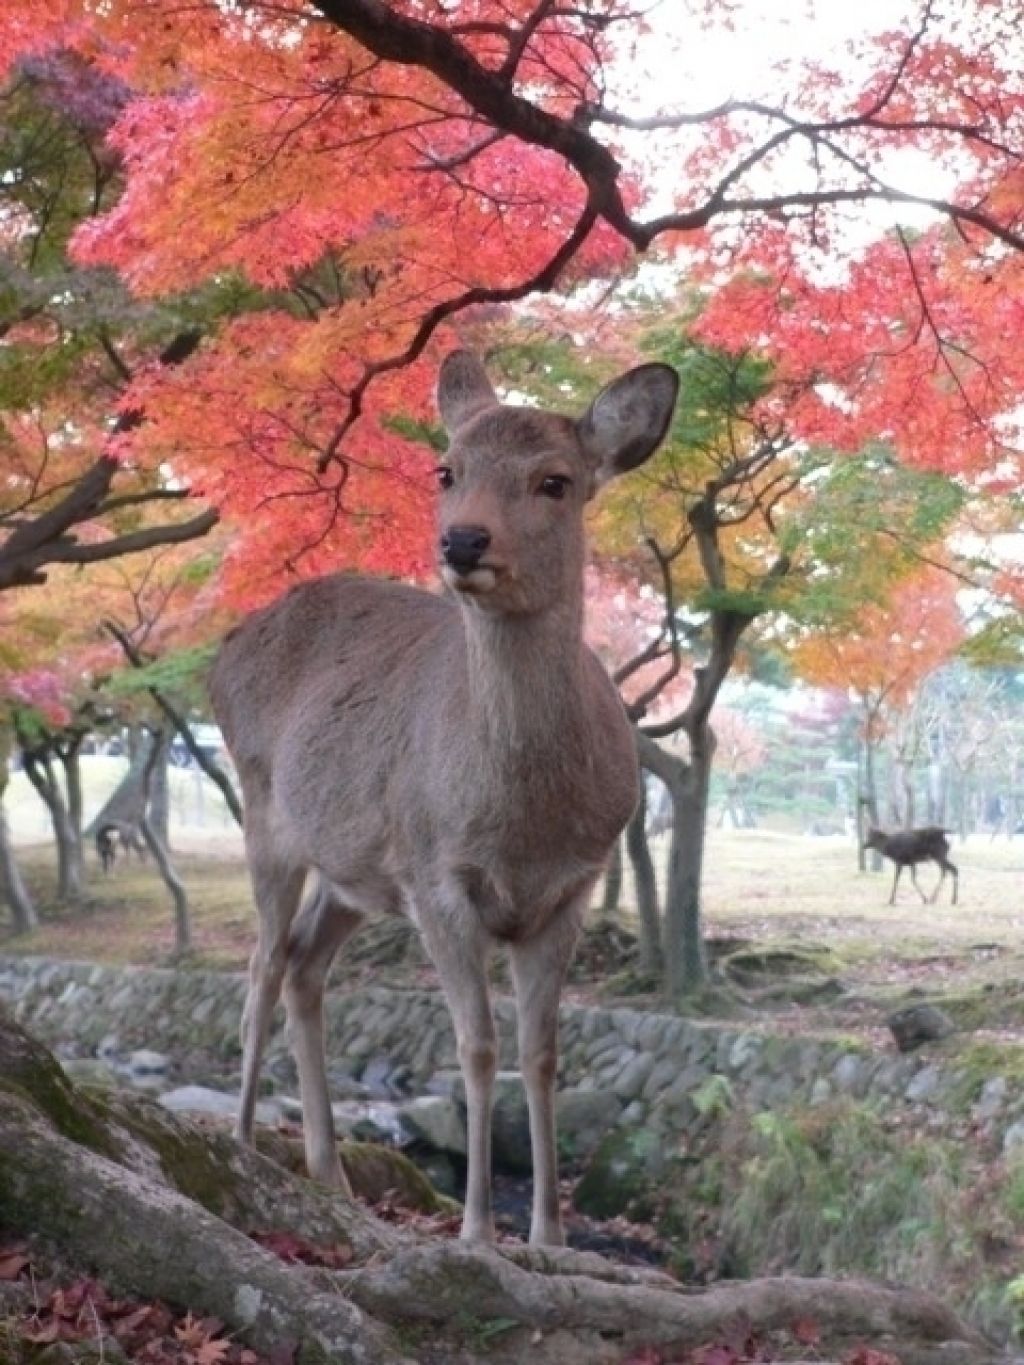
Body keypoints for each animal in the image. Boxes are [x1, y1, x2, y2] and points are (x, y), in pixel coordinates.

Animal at [208, 349, 682, 1250]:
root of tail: (229, 642)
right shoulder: (437, 874)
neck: (522, 821)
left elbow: (542, 1052)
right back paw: (245, 1142)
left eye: (555, 480)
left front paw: (549, 1235)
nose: (462, 539)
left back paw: (329, 1172)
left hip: (357, 867)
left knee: (304, 965)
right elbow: (476, 1044)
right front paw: (476, 1231)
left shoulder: (572, 885)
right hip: (264, 809)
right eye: (446, 469)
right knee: (259, 964)